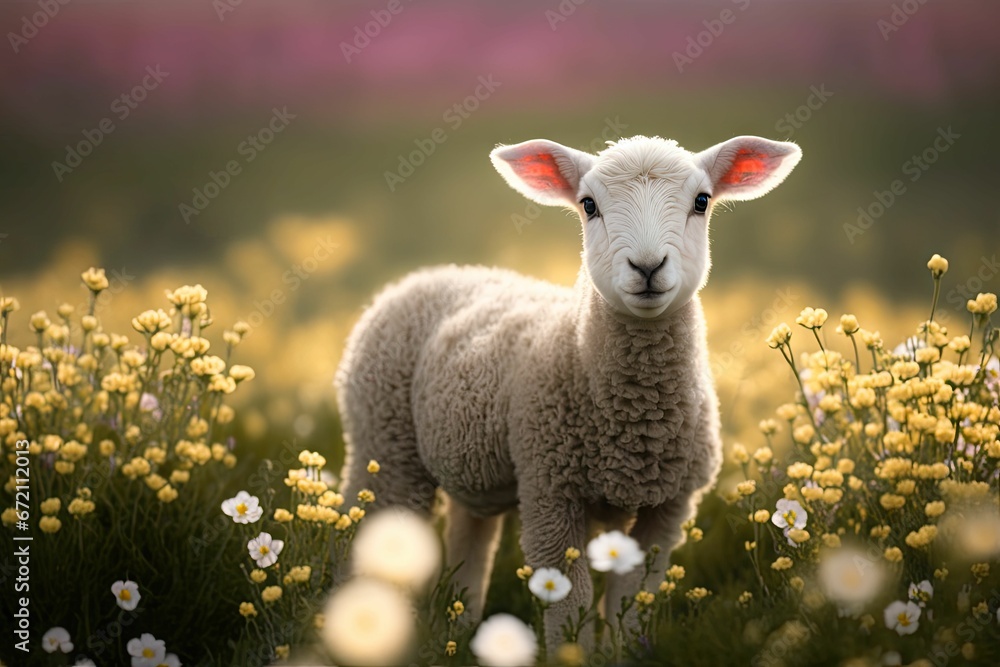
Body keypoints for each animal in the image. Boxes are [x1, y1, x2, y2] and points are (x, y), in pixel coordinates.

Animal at [336, 134, 802, 651]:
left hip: (467, 466)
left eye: (702, 201)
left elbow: (631, 601)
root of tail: (429, 273)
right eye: (588, 205)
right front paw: (570, 654)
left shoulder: (668, 506)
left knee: (468, 543)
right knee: (363, 533)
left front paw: (621, 651)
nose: (647, 267)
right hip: (383, 442)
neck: (636, 419)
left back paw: (457, 630)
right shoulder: (550, 490)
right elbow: (567, 602)